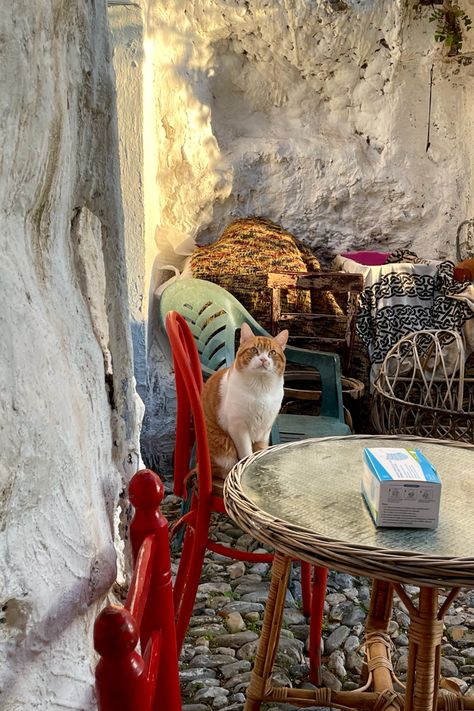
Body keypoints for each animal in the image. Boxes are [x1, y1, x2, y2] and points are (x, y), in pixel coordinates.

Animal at [201, 324, 288, 482]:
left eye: (272, 353)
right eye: (254, 350)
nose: (263, 359)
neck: (261, 389)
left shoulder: (265, 430)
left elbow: (260, 453)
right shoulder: (239, 429)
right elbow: (247, 454)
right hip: (223, 450)